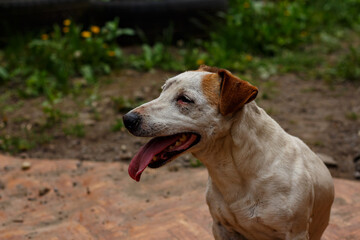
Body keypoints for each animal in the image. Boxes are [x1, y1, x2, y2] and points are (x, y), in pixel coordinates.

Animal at [124, 65, 334, 240]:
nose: (127, 119)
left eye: (185, 99)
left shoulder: (295, 233)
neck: (236, 169)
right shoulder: (221, 227)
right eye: (162, 90)